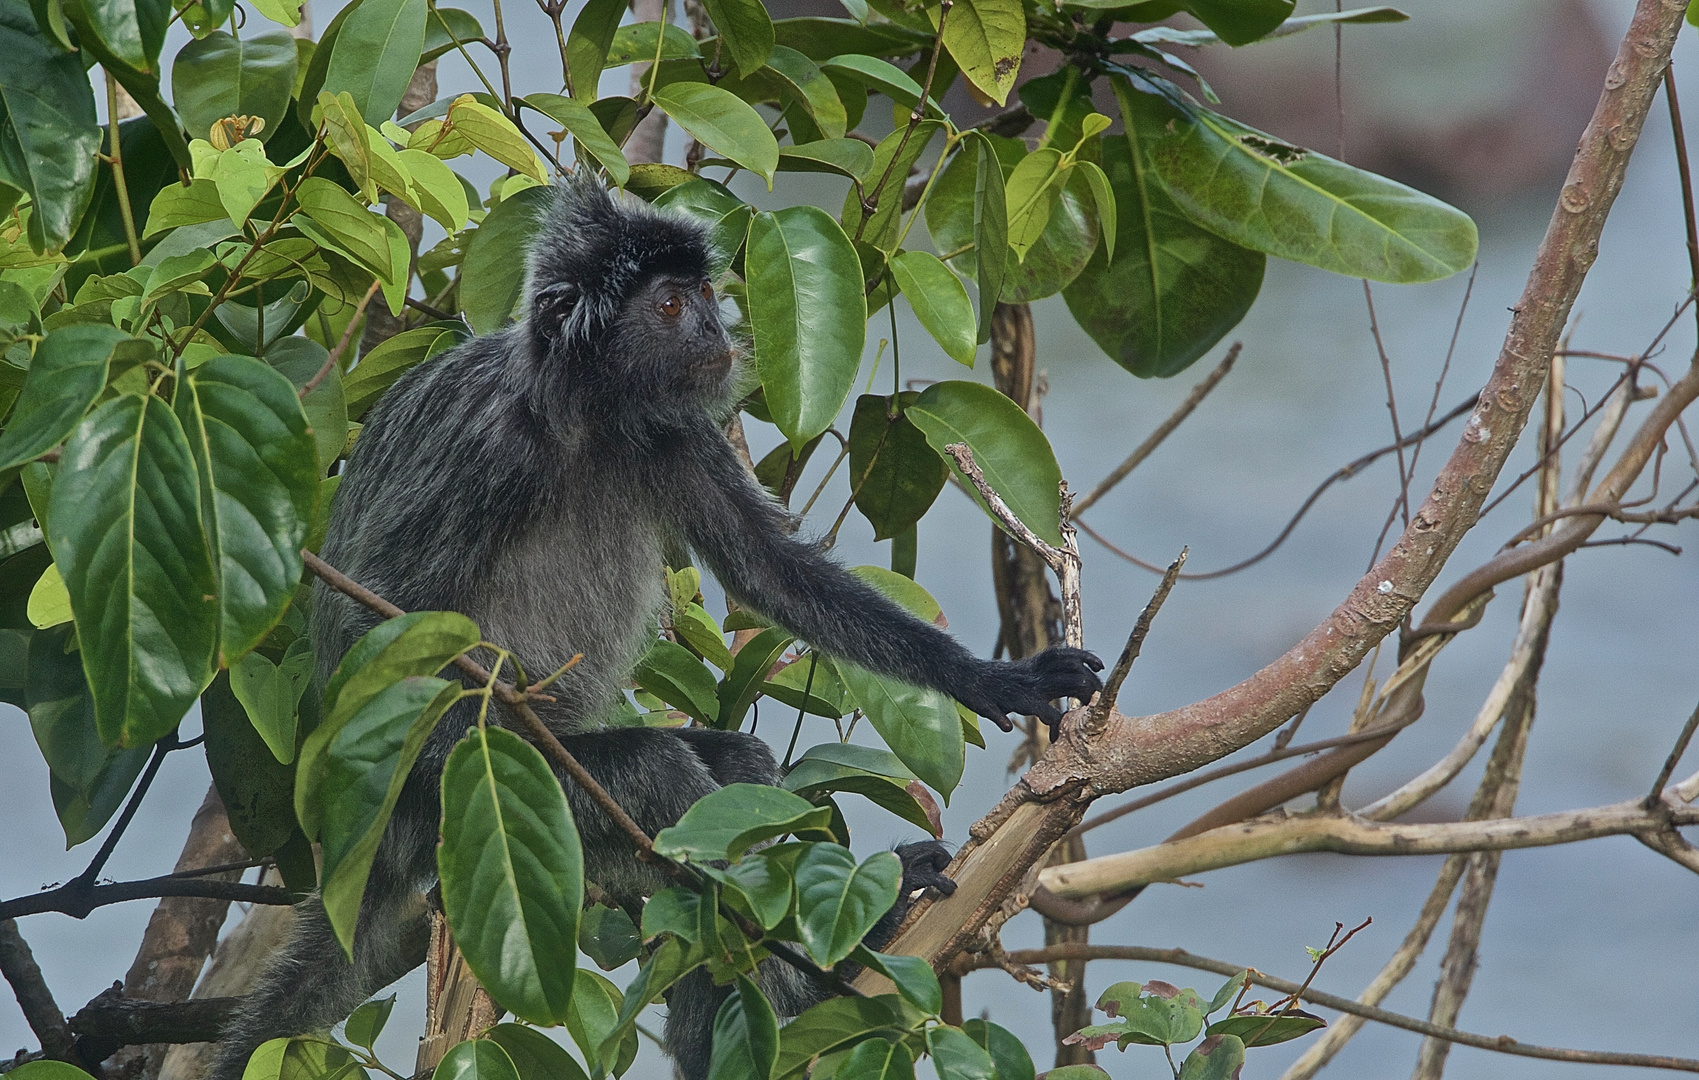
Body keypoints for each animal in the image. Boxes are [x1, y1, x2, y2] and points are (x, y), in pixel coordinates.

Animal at [208, 174, 1100, 1080]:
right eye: (670, 307)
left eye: (703, 296)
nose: (716, 331)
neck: (582, 416)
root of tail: (383, 840)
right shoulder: (480, 443)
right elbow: (377, 608)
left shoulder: (676, 431)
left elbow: (770, 572)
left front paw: (999, 679)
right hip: (479, 795)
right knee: (650, 770)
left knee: (735, 765)